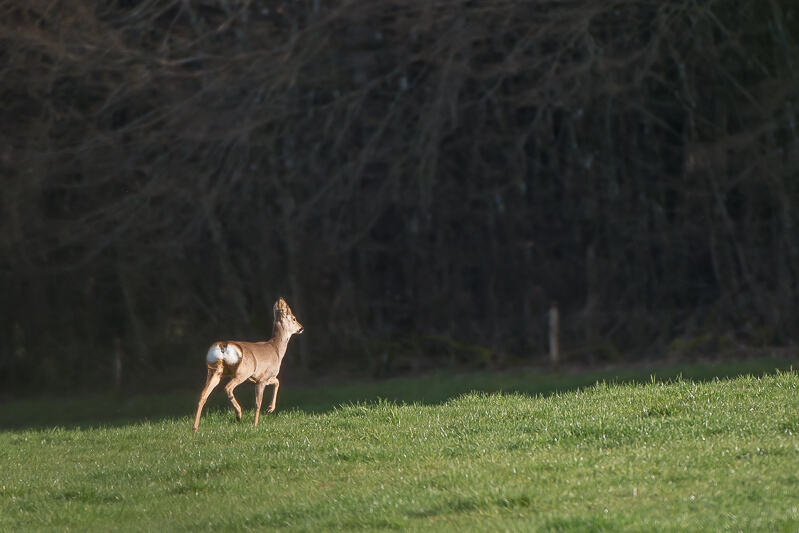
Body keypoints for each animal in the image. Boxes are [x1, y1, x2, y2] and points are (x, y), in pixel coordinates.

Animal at [193, 298, 304, 430]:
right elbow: (258, 403)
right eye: (294, 318)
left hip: (216, 370)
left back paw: (195, 428)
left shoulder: (262, 377)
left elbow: (277, 382)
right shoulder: (263, 378)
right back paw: (238, 414)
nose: (301, 328)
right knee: (228, 387)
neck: (276, 349)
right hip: (242, 372)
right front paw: (256, 424)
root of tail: (223, 346)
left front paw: (269, 409)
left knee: (203, 395)